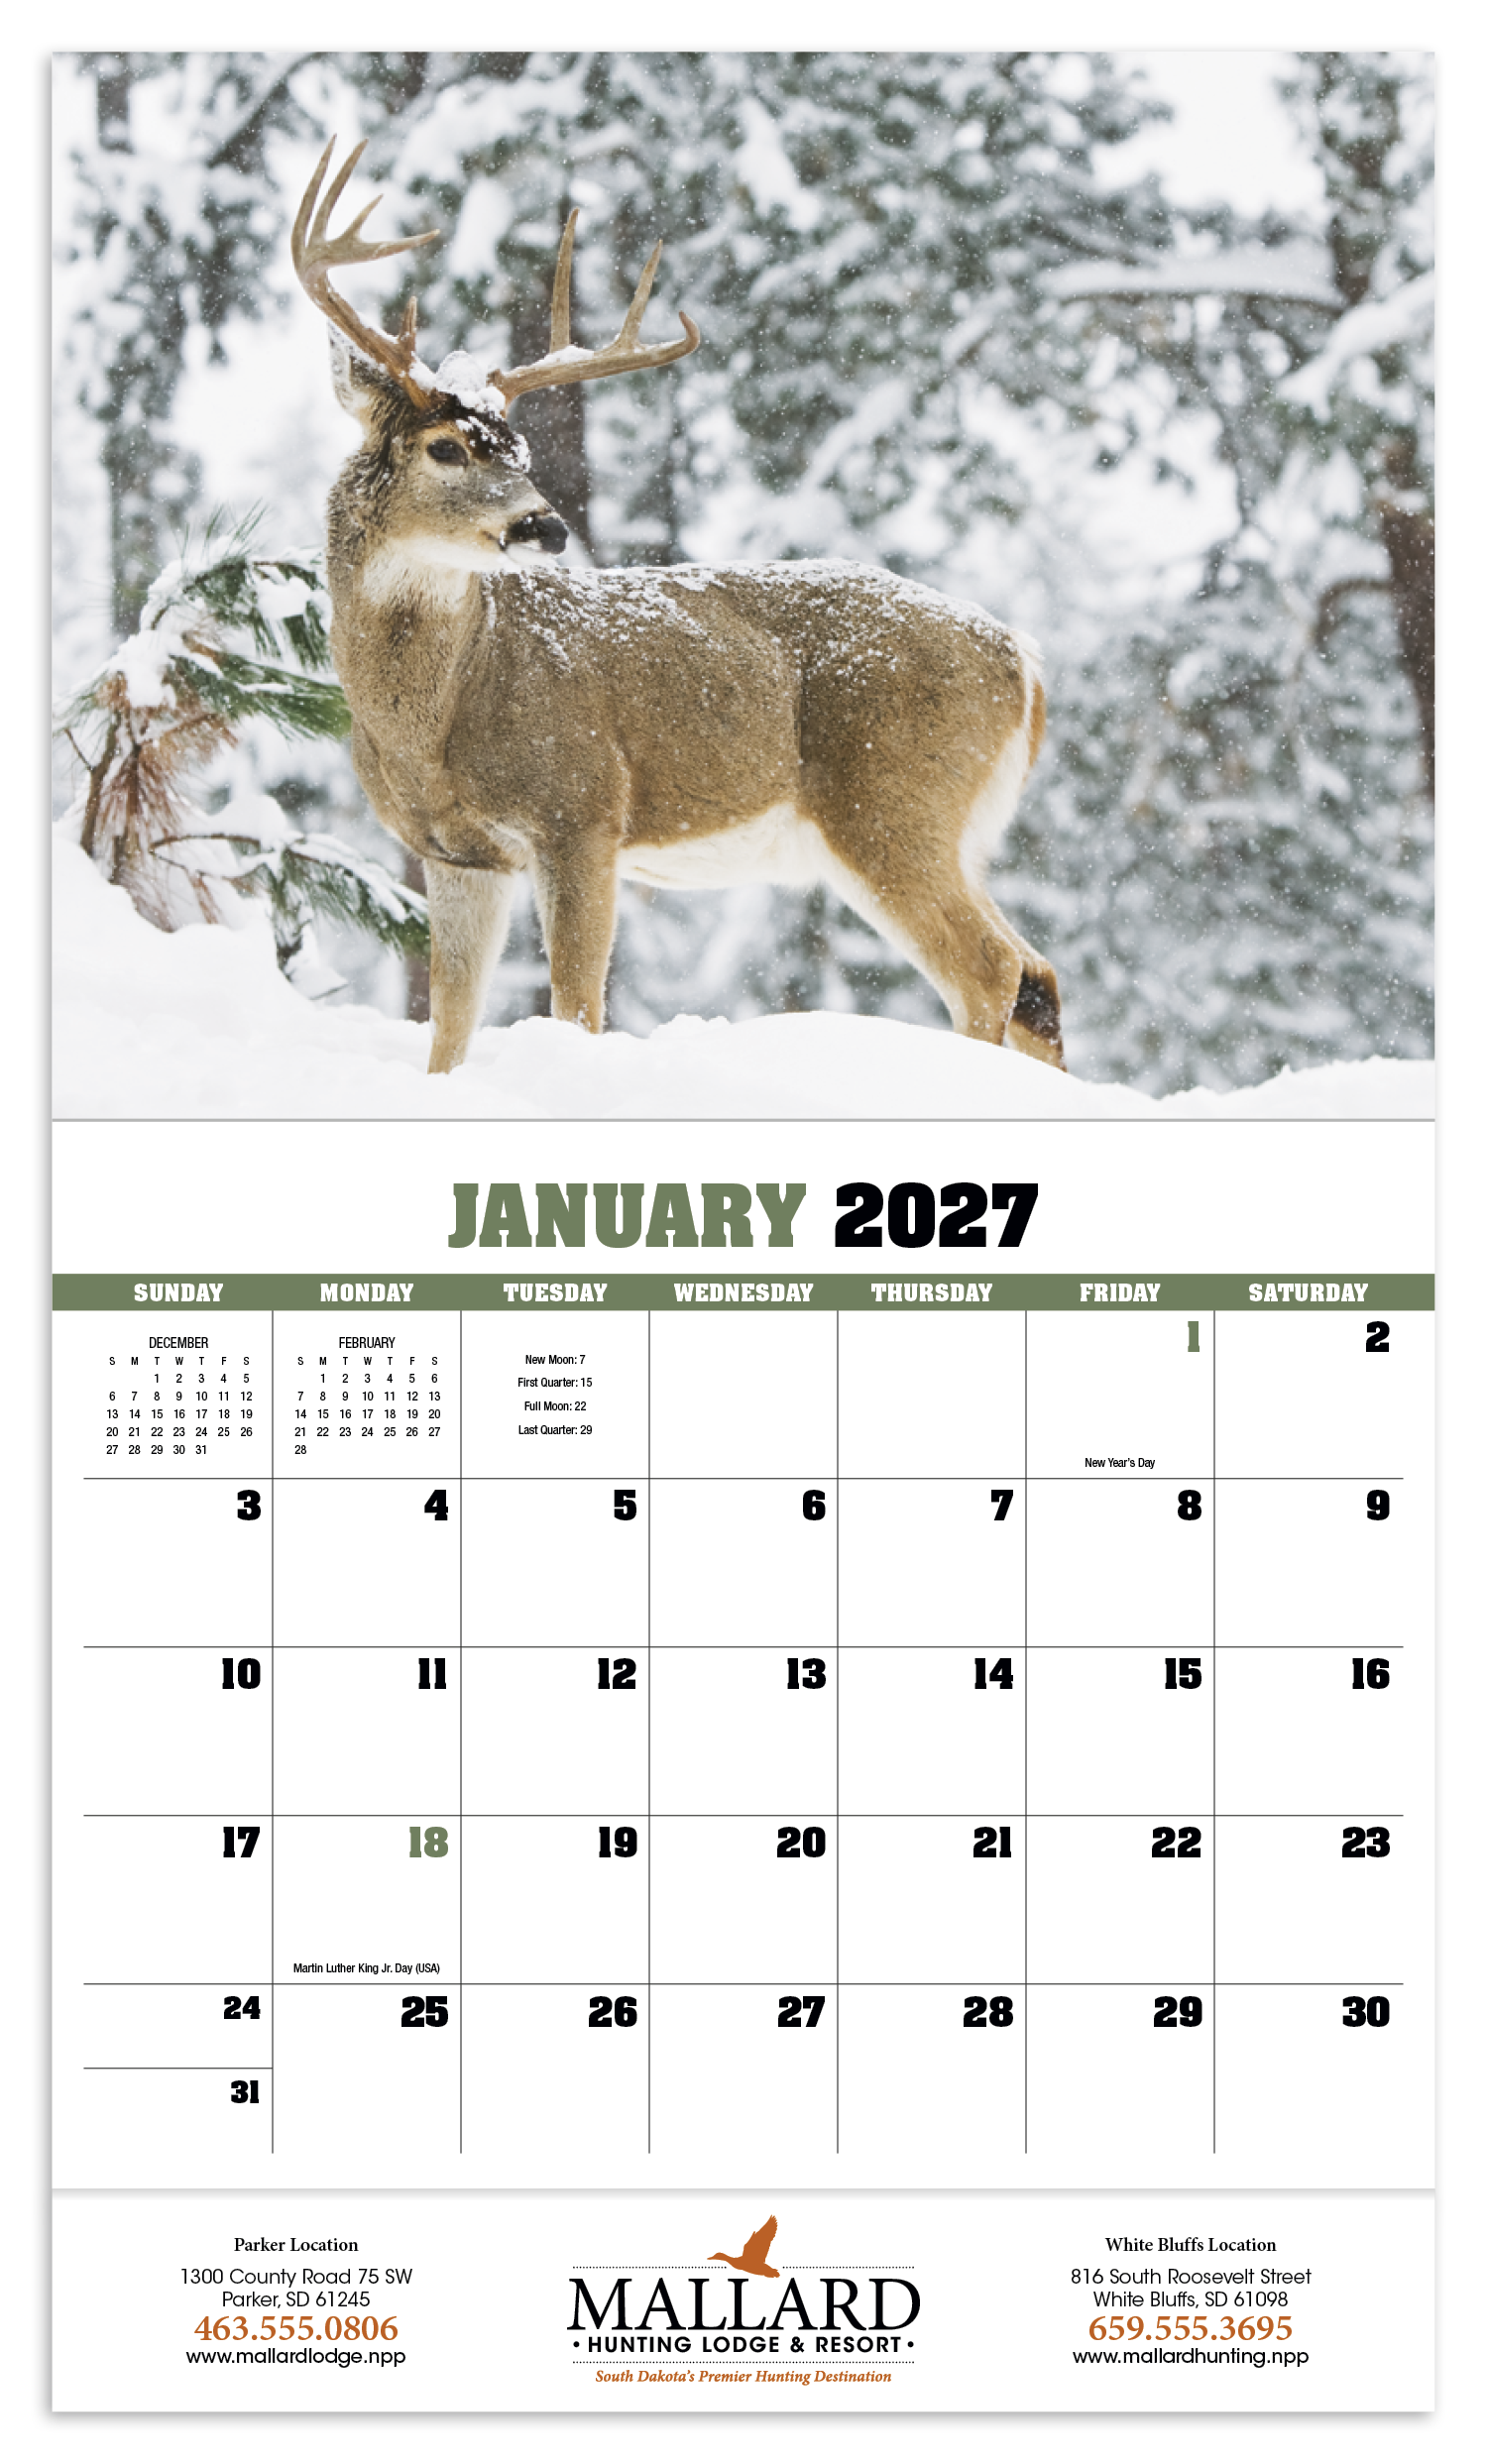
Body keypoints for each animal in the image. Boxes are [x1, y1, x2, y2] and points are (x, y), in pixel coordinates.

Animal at [292, 141, 1064, 1074]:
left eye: (519, 448)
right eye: (445, 447)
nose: (546, 525)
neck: (432, 722)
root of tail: (1021, 658)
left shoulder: (583, 811)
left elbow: (577, 1007)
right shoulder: (455, 853)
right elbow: (449, 1030)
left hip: (894, 798)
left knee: (991, 971)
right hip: (949, 828)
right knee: (1037, 976)